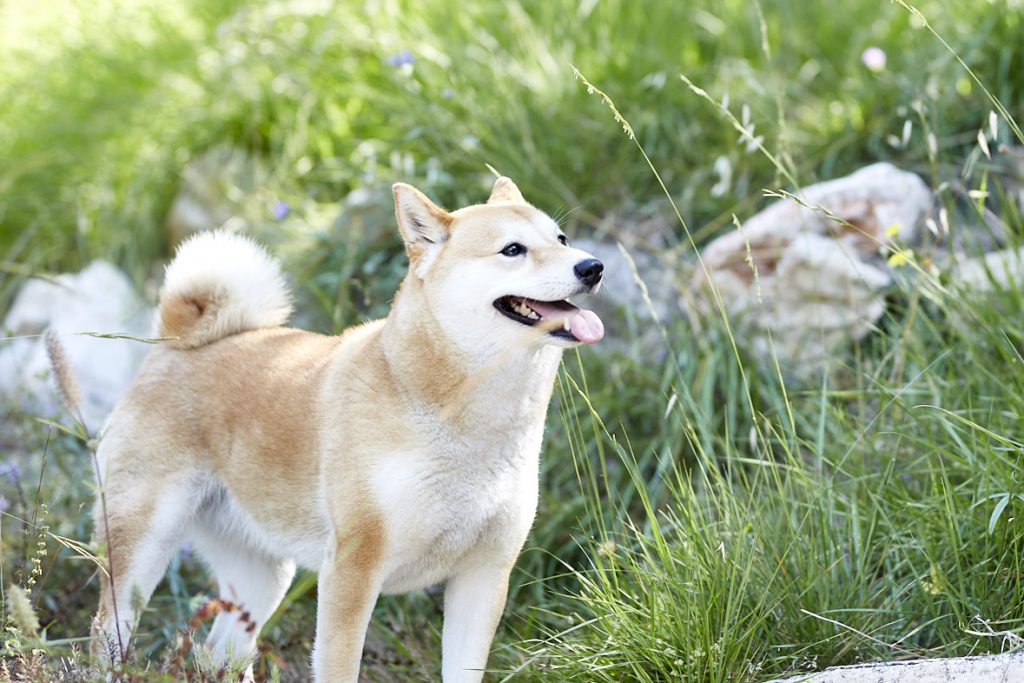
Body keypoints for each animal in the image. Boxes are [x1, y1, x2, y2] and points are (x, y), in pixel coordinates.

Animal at [92, 179, 602, 679]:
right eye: (513, 249)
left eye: (561, 239)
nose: (592, 266)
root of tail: (172, 345)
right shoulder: (353, 570)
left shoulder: (485, 575)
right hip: (143, 550)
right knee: (106, 638)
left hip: (262, 574)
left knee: (218, 652)